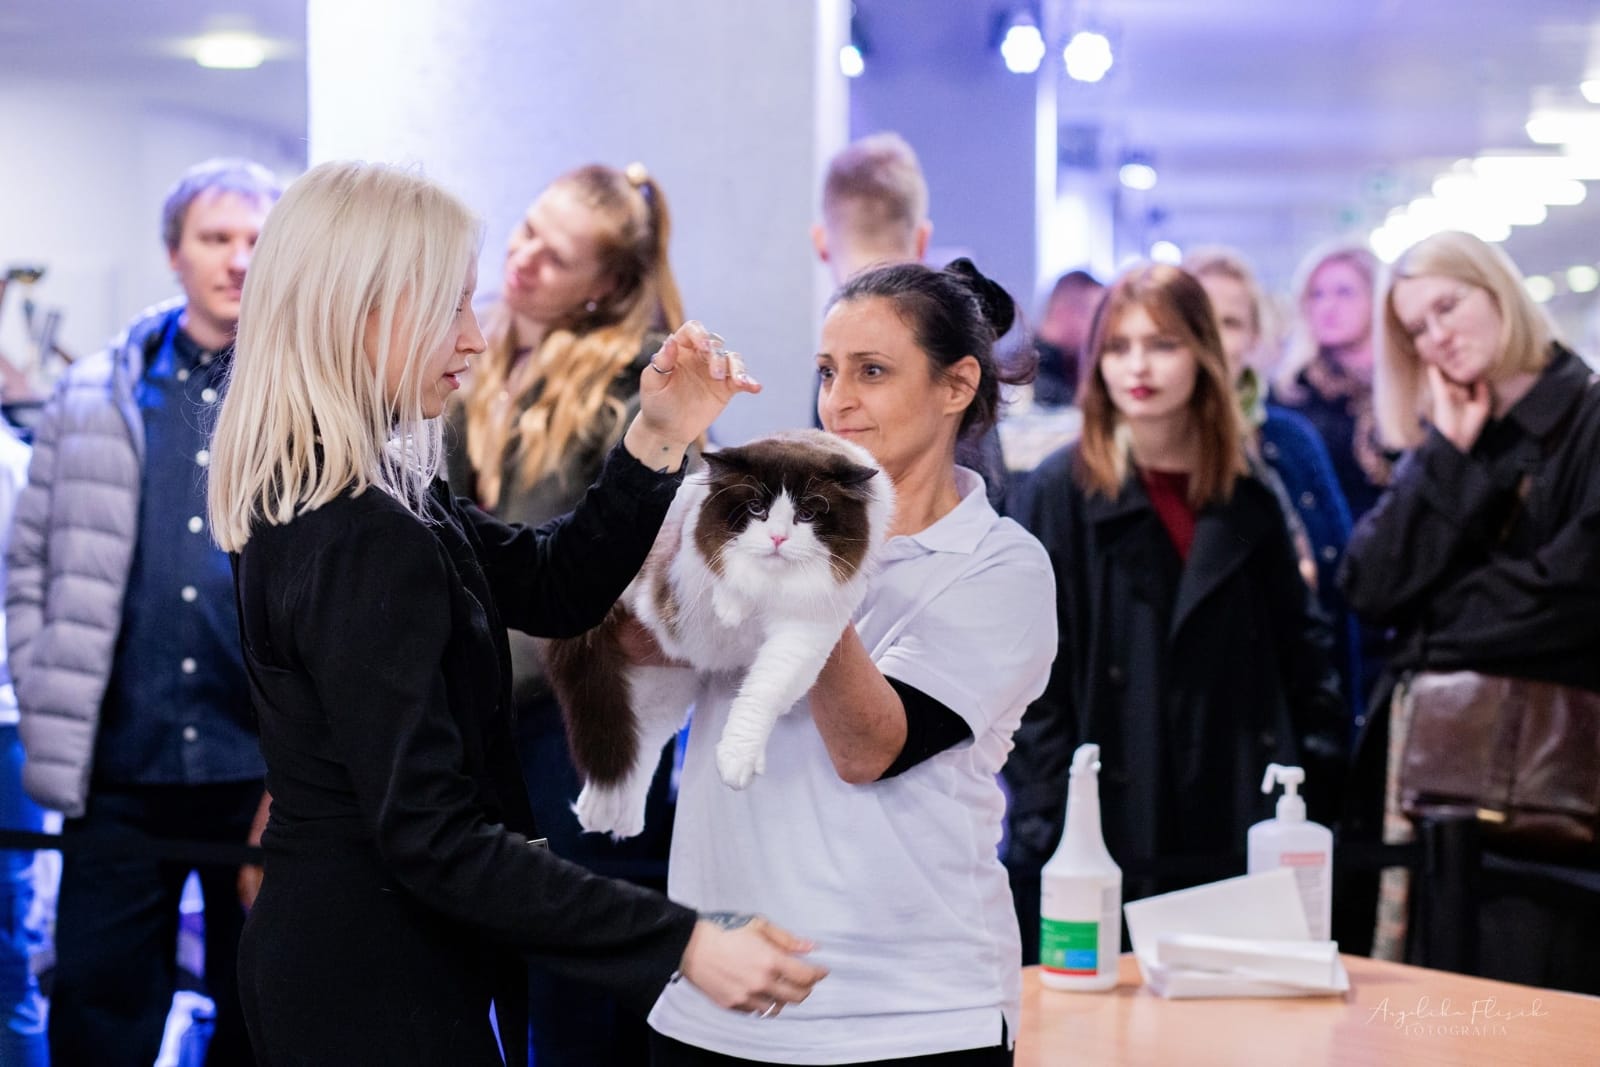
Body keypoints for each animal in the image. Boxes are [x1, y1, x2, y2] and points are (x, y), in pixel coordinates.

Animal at [547, 429, 895, 838]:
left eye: (807, 515)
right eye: (757, 509)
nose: (777, 539)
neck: (771, 589)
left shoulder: (806, 632)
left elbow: (762, 694)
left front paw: (735, 761)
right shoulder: (682, 559)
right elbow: (725, 571)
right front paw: (732, 606)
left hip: (662, 690)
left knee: (638, 746)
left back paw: (614, 816)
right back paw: (603, 813)